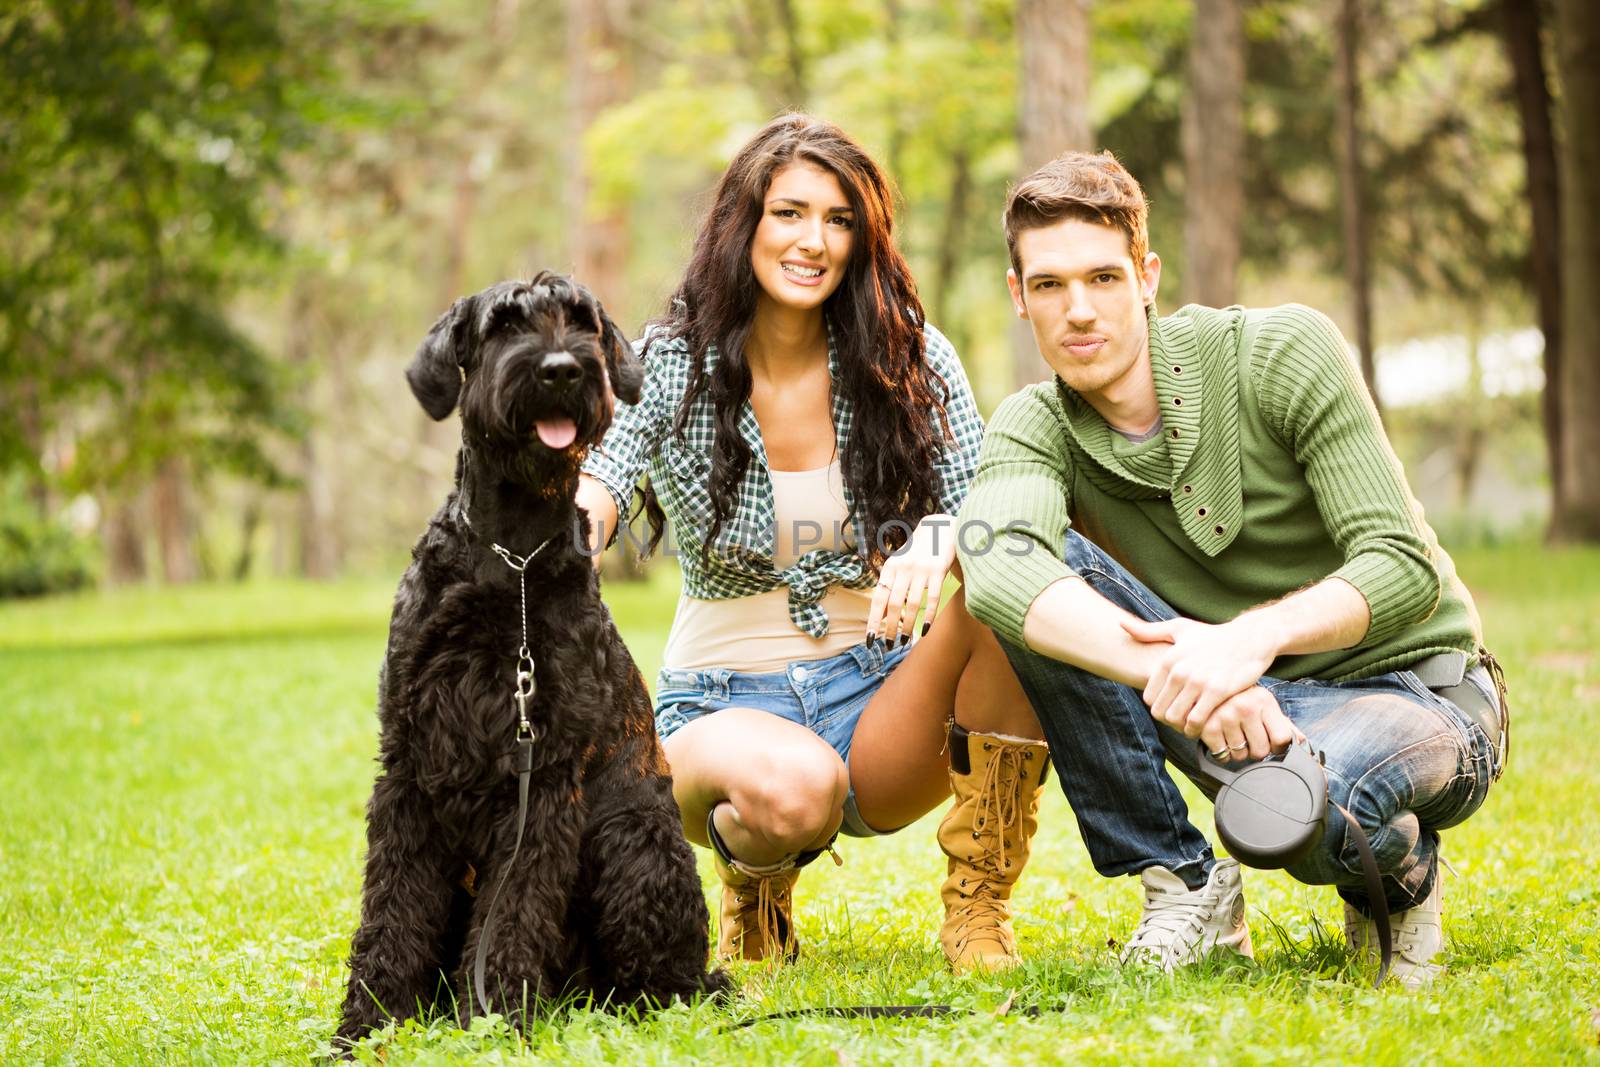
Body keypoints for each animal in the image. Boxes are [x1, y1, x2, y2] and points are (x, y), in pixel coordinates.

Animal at [340, 271, 732, 1049]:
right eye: (502, 324)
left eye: (581, 320)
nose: (561, 370)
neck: (511, 561)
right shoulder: (407, 765)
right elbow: (391, 904)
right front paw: (368, 1022)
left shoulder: (545, 777)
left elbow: (516, 906)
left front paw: (494, 1017)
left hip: (632, 845)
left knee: (661, 979)